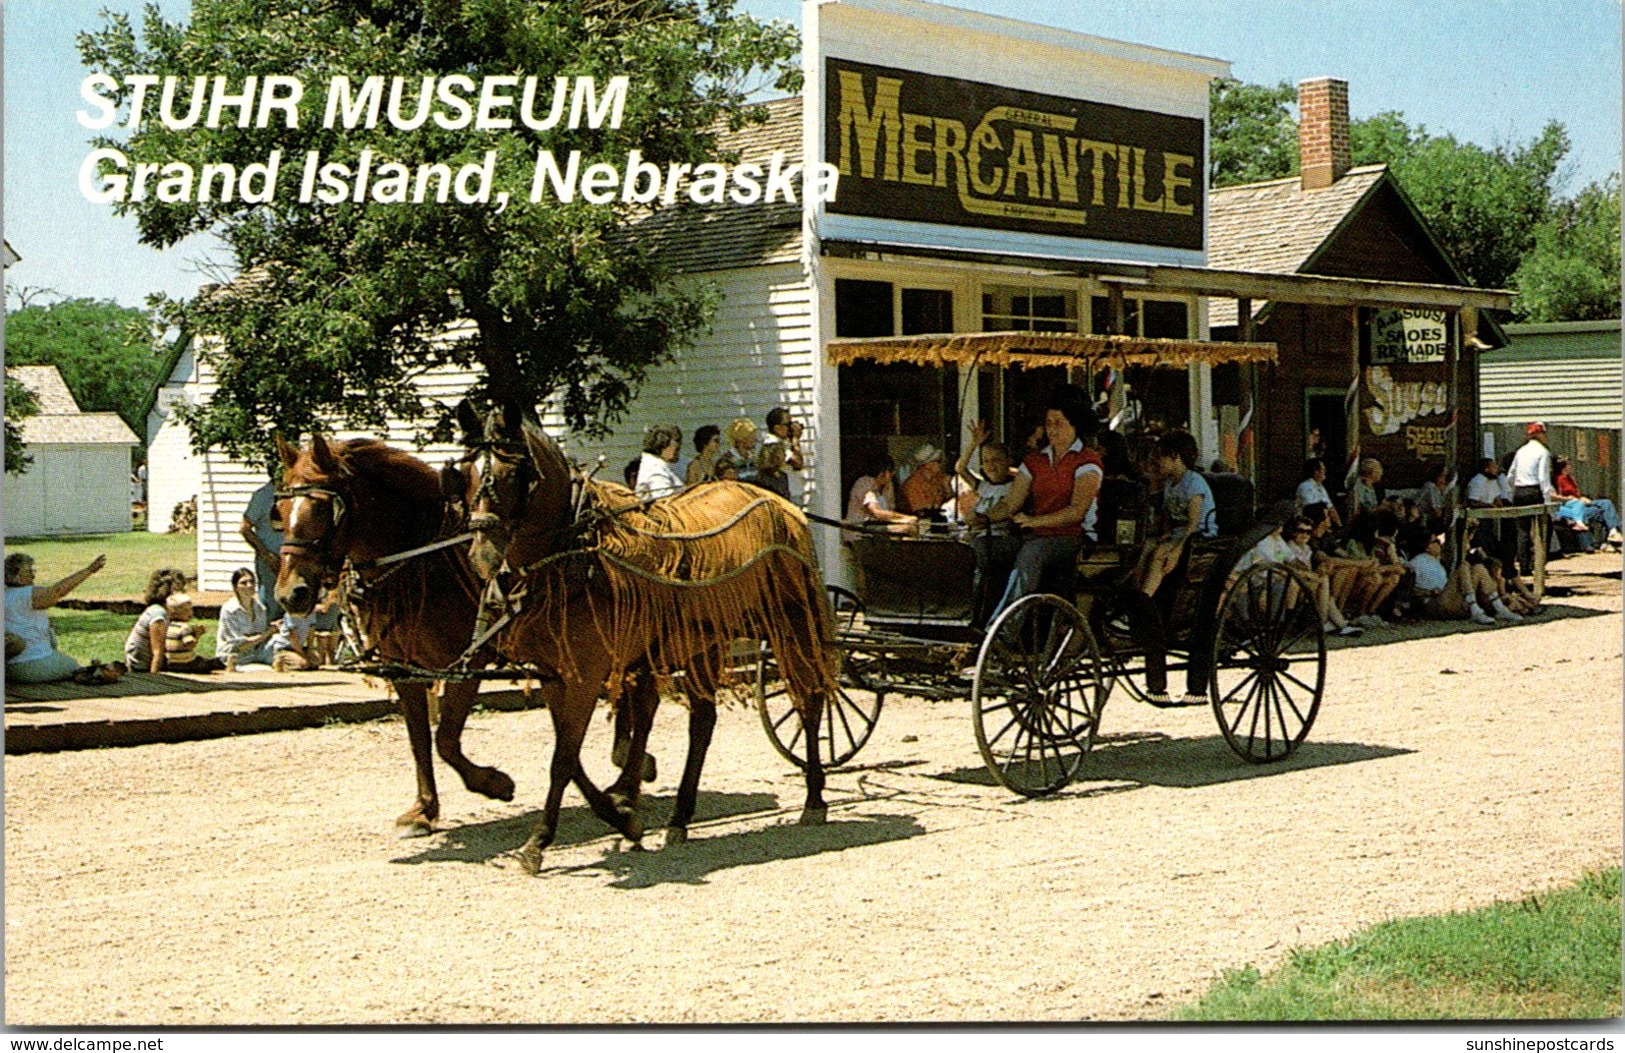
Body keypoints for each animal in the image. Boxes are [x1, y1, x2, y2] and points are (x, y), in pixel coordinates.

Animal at [269, 432, 516, 832]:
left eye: (323, 510)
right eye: (281, 511)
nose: (291, 594)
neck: (422, 560)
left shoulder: (469, 660)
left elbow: (446, 738)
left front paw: (493, 782)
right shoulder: (402, 666)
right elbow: (419, 739)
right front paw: (424, 808)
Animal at [458, 403, 838, 871]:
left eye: (510, 472)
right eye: (466, 471)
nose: (481, 555)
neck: (578, 552)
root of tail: (780, 505)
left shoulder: (586, 675)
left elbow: (563, 760)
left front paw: (542, 840)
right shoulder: (555, 673)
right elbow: (572, 756)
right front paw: (621, 813)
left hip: (791, 624)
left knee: (809, 699)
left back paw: (814, 796)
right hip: (705, 642)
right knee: (703, 723)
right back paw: (680, 817)